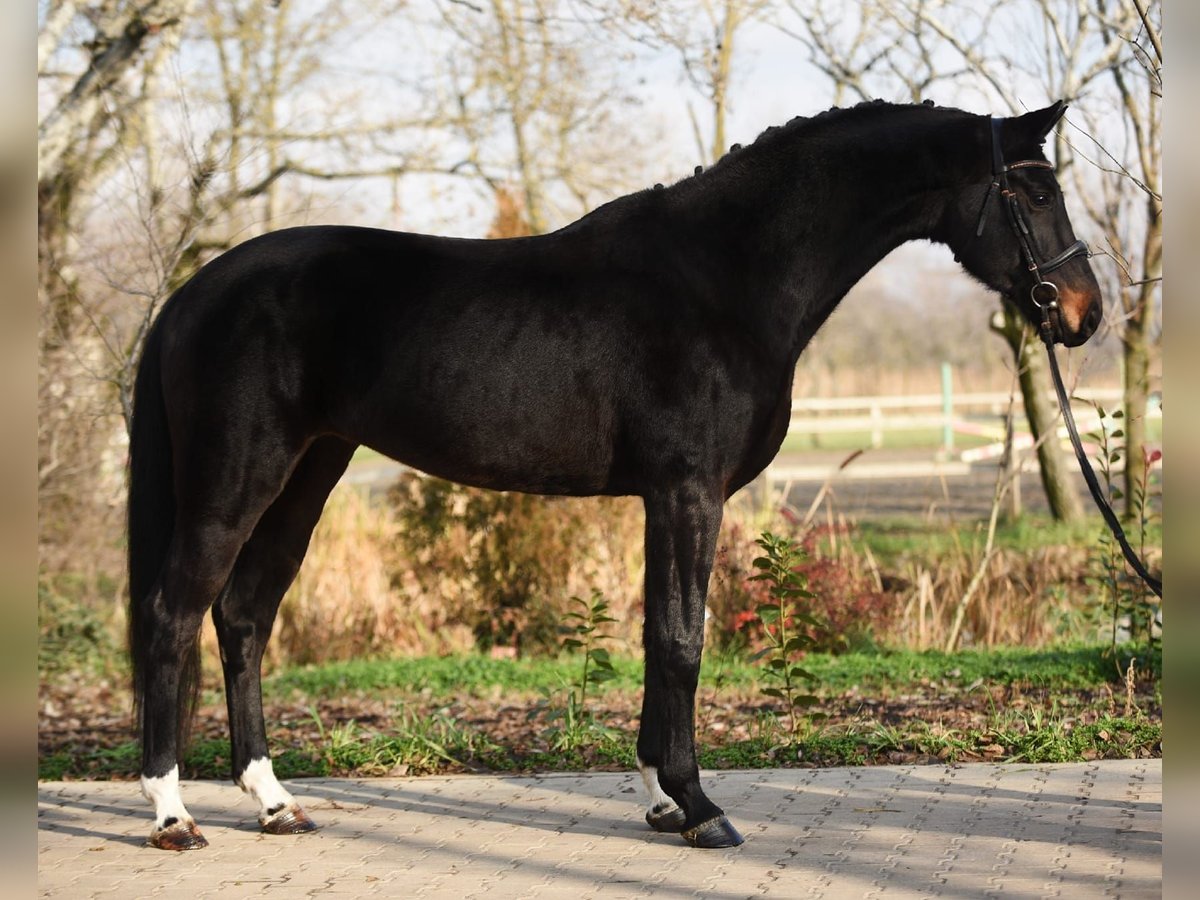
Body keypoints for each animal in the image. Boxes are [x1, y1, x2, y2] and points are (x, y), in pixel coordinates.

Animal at [126, 100, 1099, 854]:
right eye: (1033, 191)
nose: (1084, 313)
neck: (726, 276)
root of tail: (192, 293)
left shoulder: (663, 498)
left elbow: (655, 637)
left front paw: (664, 802)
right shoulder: (687, 492)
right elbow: (681, 639)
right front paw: (702, 808)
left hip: (308, 473)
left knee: (243, 616)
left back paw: (275, 803)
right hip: (237, 477)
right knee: (174, 615)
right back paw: (174, 816)